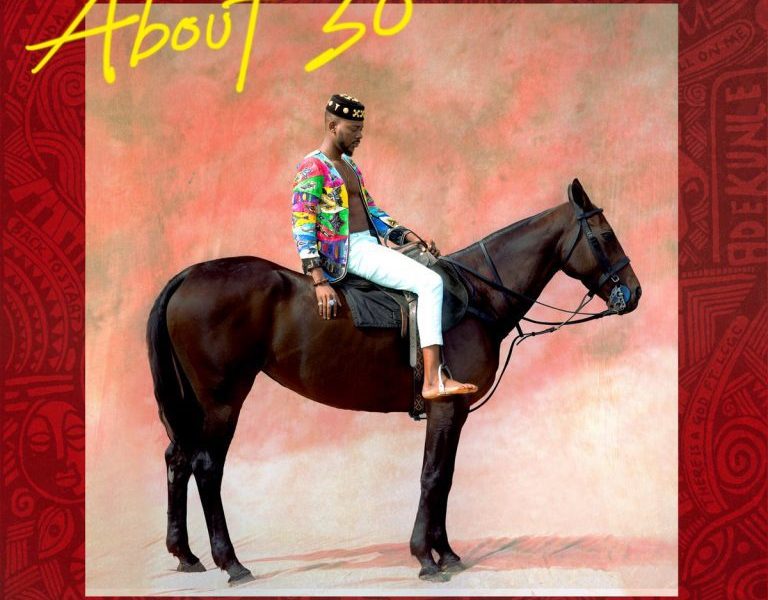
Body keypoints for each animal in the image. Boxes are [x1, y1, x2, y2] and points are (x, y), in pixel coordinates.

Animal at [146, 178, 641, 585]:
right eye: (604, 235)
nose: (633, 293)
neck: (475, 296)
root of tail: (188, 274)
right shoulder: (444, 406)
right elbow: (432, 475)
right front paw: (426, 557)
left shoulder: (457, 412)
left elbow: (446, 478)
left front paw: (447, 553)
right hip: (222, 400)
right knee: (206, 466)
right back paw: (231, 562)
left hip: (193, 402)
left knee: (178, 458)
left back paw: (186, 555)